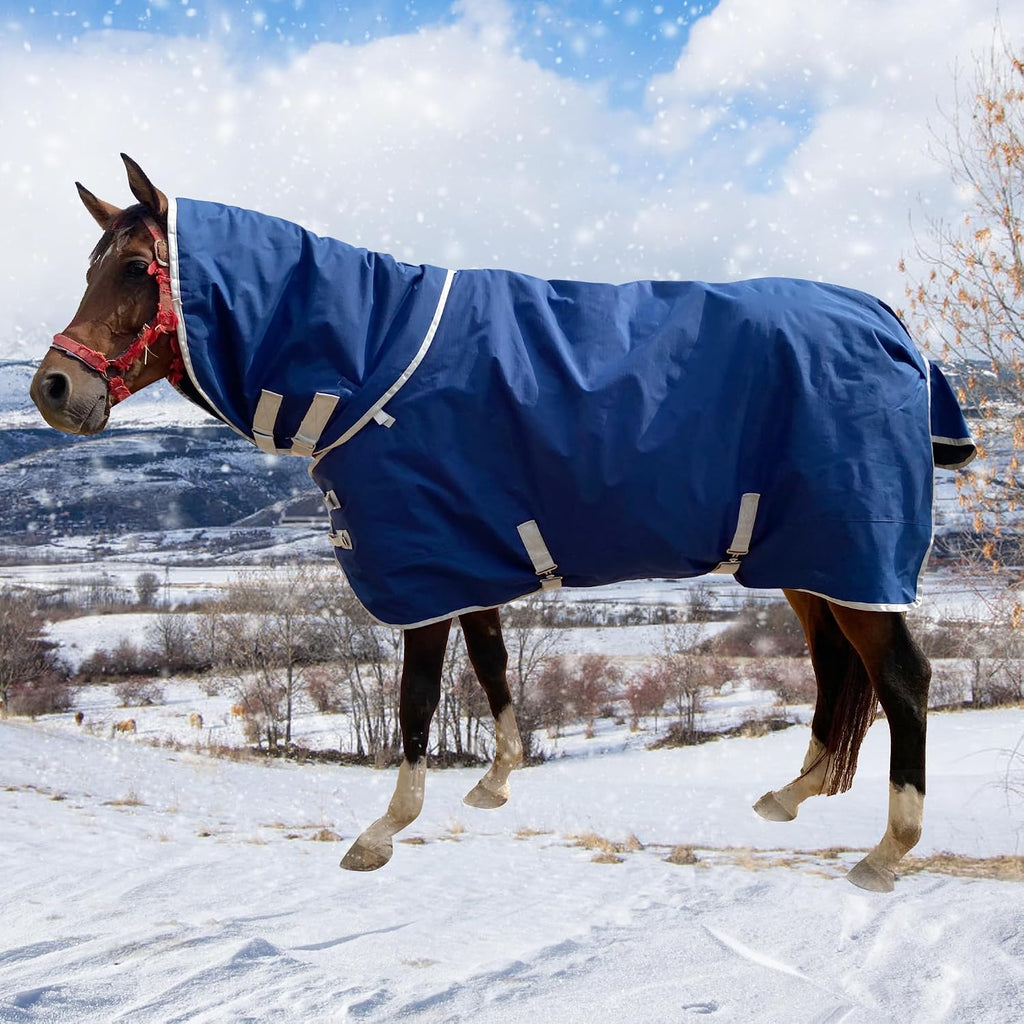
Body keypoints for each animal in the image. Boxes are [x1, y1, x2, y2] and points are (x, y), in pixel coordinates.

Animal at [30, 155, 976, 891]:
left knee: (903, 681)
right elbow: (492, 669)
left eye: (137, 268)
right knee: (837, 669)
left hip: (849, 553)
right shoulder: (465, 559)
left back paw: (887, 852)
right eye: (89, 265)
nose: (52, 389)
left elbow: (414, 702)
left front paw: (384, 830)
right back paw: (793, 794)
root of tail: (888, 322)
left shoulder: (421, 567)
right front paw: (495, 781)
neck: (372, 362)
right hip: (810, 561)